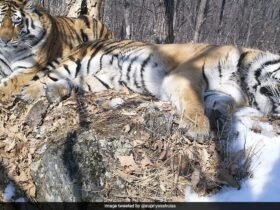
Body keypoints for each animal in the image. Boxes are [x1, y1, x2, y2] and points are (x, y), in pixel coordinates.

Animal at [14, 39, 280, 140]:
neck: (243, 80)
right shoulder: (186, 75)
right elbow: (193, 102)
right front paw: (198, 128)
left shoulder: (221, 93)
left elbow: (222, 104)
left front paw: (221, 118)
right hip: (79, 62)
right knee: (45, 77)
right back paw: (31, 93)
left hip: (98, 80)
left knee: (71, 84)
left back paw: (55, 92)